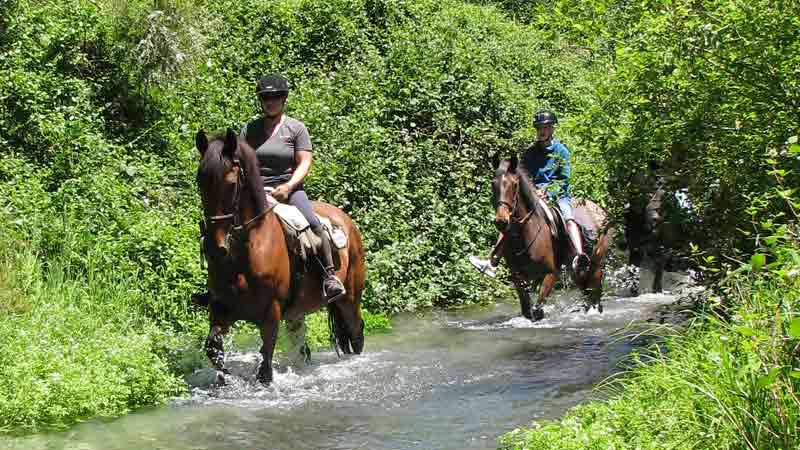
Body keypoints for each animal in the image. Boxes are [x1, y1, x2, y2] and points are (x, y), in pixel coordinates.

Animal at [195, 126, 368, 384]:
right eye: (200, 182)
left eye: (231, 183)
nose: (215, 249)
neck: (247, 250)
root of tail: (346, 220)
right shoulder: (221, 308)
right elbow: (213, 349)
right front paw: (225, 379)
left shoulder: (270, 314)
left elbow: (265, 366)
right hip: (298, 313)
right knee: (302, 347)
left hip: (349, 299)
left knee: (356, 334)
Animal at [490, 156, 608, 322]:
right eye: (493, 184)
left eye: (514, 185)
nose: (501, 221)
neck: (525, 235)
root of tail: (599, 209)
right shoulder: (518, 278)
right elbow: (527, 311)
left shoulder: (551, 273)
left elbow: (537, 310)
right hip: (577, 271)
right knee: (588, 294)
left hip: (596, 265)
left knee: (595, 293)